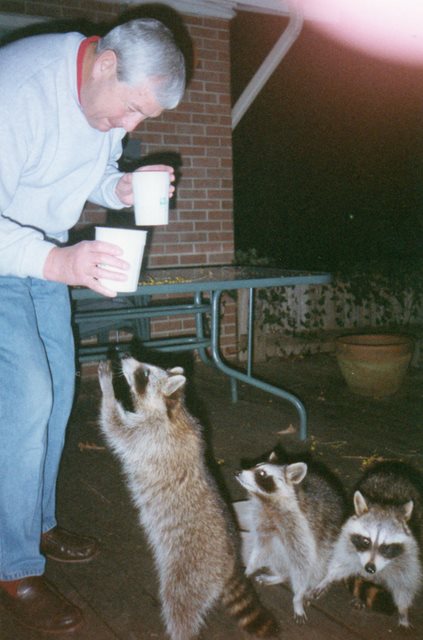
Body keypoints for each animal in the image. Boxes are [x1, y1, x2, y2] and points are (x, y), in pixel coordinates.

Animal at [97, 360, 280, 640]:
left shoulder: (149, 435)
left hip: (190, 569)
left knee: (179, 603)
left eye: (144, 373)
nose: (126, 356)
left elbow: (115, 427)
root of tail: (231, 561)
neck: (173, 406)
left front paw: (107, 390)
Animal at [235, 456, 348, 624]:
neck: (268, 502)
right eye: (254, 466)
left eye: (261, 473)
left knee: (324, 565)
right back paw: (281, 575)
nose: (237, 471)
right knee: (276, 557)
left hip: (331, 545)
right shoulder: (263, 525)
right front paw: (250, 567)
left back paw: (322, 581)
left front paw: (297, 599)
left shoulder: (303, 529)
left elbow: (304, 564)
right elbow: (261, 548)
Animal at [314, 462, 423, 628]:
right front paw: (329, 577)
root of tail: (393, 469)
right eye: (366, 541)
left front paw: (403, 609)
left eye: (386, 547)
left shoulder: (409, 553)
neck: (384, 503)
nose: (370, 569)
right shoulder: (347, 539)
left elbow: (405, 581)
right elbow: (341, 560)